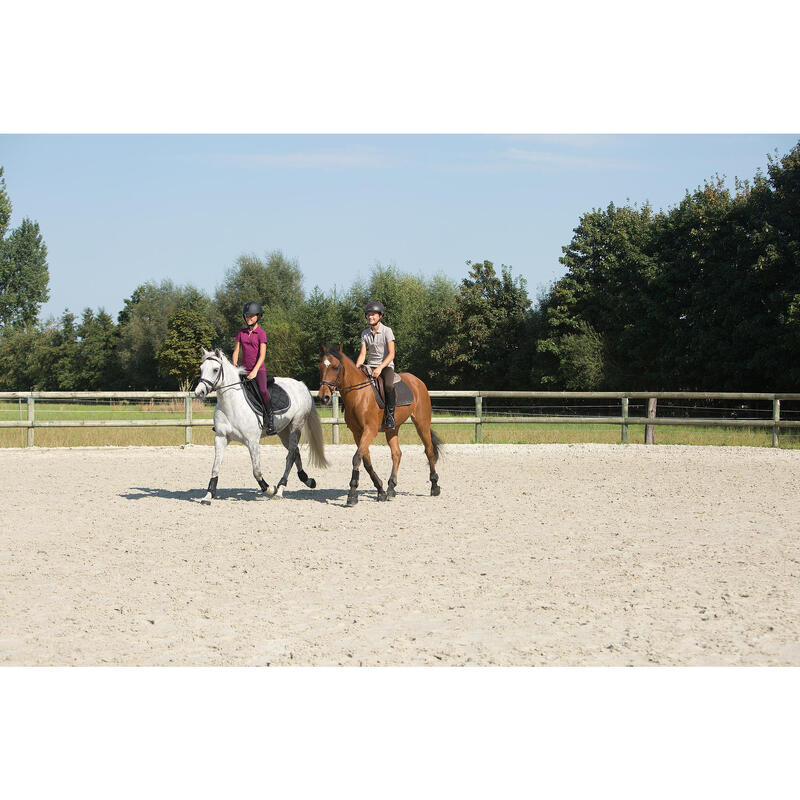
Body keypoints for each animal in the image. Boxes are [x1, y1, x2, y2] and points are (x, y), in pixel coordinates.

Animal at [318, 344, 444, 506]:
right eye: (320, 367)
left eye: (335, 367)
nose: (323, 397)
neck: (358, 395)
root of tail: (417, 381)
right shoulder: (357, 433)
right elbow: (366, 461)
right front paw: (381, 490)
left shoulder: (369, 430)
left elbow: (357, 458)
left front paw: (352, 494)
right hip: (393, 428)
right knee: (397, 454)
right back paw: (391, 488)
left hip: (422, 423)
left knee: (429, 451)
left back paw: (434, 487)